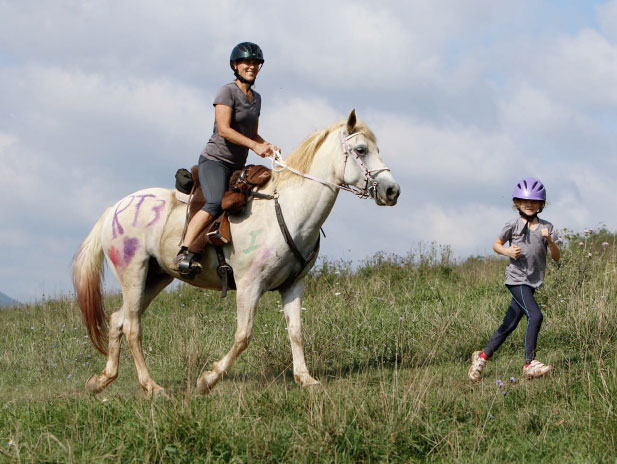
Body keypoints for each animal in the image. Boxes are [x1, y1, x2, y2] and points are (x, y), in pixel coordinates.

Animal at [72, 110, 400, 396]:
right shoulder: (249, 286)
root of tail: (114, 209)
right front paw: (208, 379)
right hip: (134, 274)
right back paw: (152, 387)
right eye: (361, 149)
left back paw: (101, 380)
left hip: (156, 277)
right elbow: (243, 336)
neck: (288, 209)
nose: (392, 191)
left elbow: (295, 331)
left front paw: (306, 379)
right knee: (132, 327)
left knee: (119, 319)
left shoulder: (293, 285)